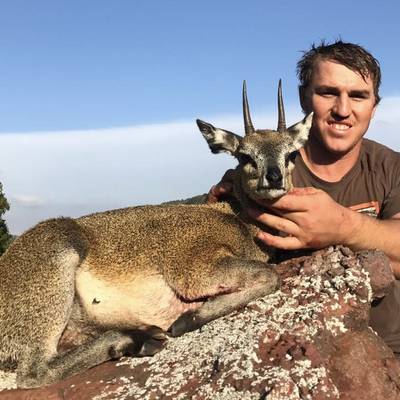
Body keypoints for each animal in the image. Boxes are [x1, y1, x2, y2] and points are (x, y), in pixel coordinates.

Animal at [0, 81, 313, 388]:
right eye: (245, 155)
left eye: (291, 153)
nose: (274, 177)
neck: (237, 221)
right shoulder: (194, 270)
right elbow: (271, 275)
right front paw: (187, 319)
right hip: (57, 259)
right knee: (34, 372)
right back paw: (139, 338)